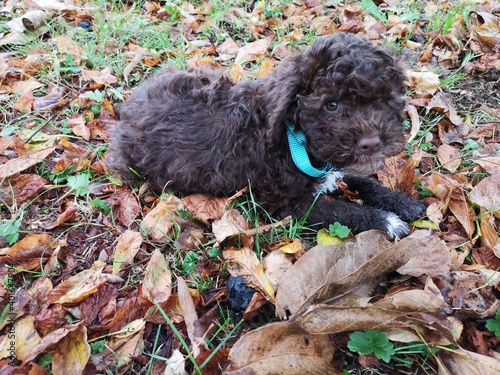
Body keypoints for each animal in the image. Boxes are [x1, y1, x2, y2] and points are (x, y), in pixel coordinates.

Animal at [106, 31, 426, 238]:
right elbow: (343, 211)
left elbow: (360, 179)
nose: (372, 143)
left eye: (382, 99)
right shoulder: (287, 206)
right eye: (332, 105)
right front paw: (387, 221)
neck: (295, 140)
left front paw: (401, 202)